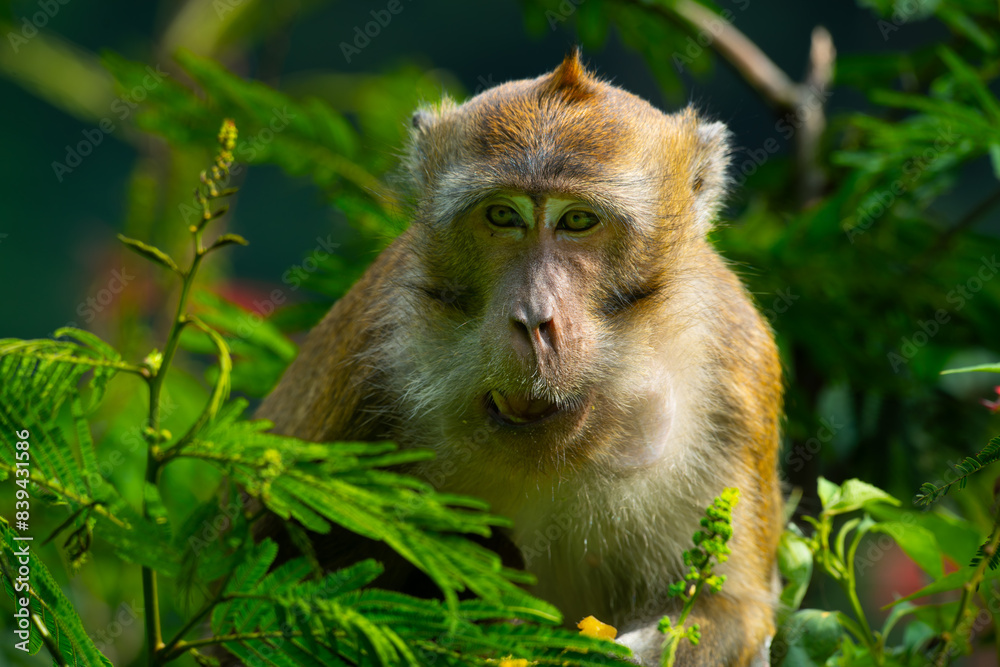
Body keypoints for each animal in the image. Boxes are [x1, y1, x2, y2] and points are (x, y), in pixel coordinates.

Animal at [256, 50, 783, 666]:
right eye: (503, 216)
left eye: (577, 220)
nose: (533, 319)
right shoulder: (376, 346)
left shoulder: (734, 369)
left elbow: (731, 612)